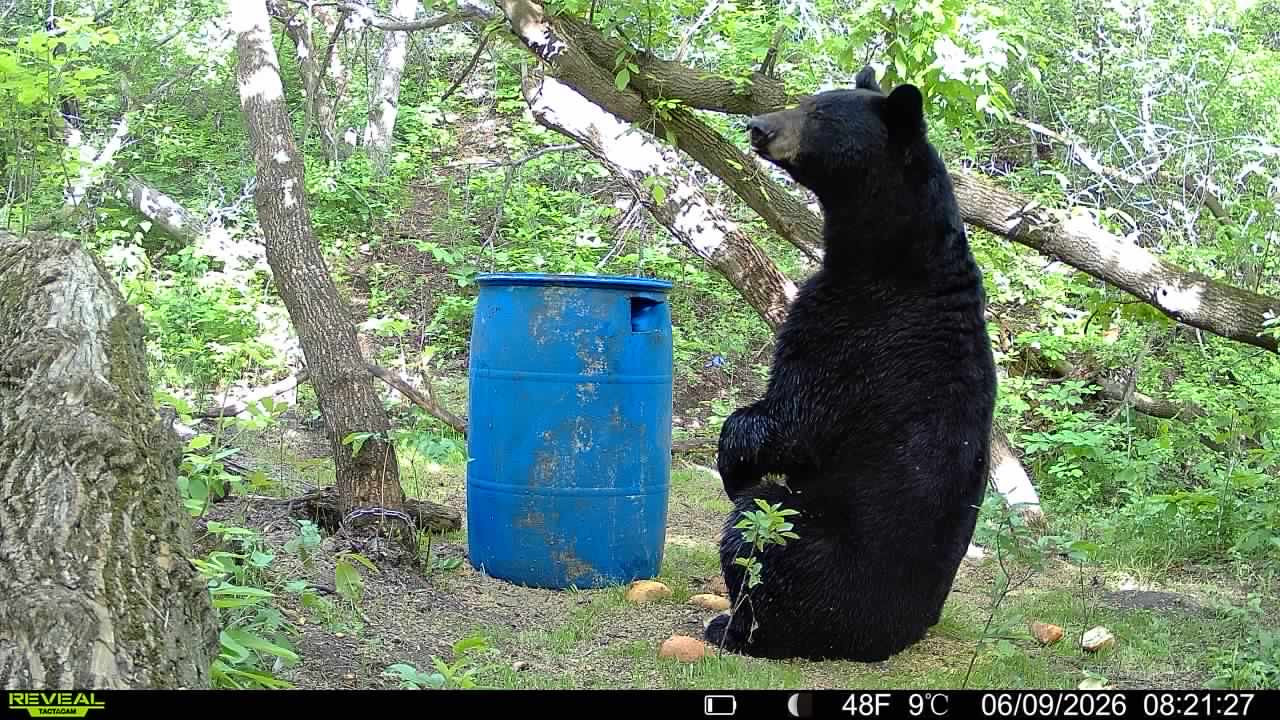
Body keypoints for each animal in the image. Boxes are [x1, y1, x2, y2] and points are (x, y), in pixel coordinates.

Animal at [703, 65, 998, 662]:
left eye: (819, 114)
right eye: (804, 98)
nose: (757, 126)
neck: (894, 259)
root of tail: (891, 638)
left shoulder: (856, 336)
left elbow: (794, 418)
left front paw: (733, 460)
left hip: (814, 554)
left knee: (757, 530)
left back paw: (735, 627)